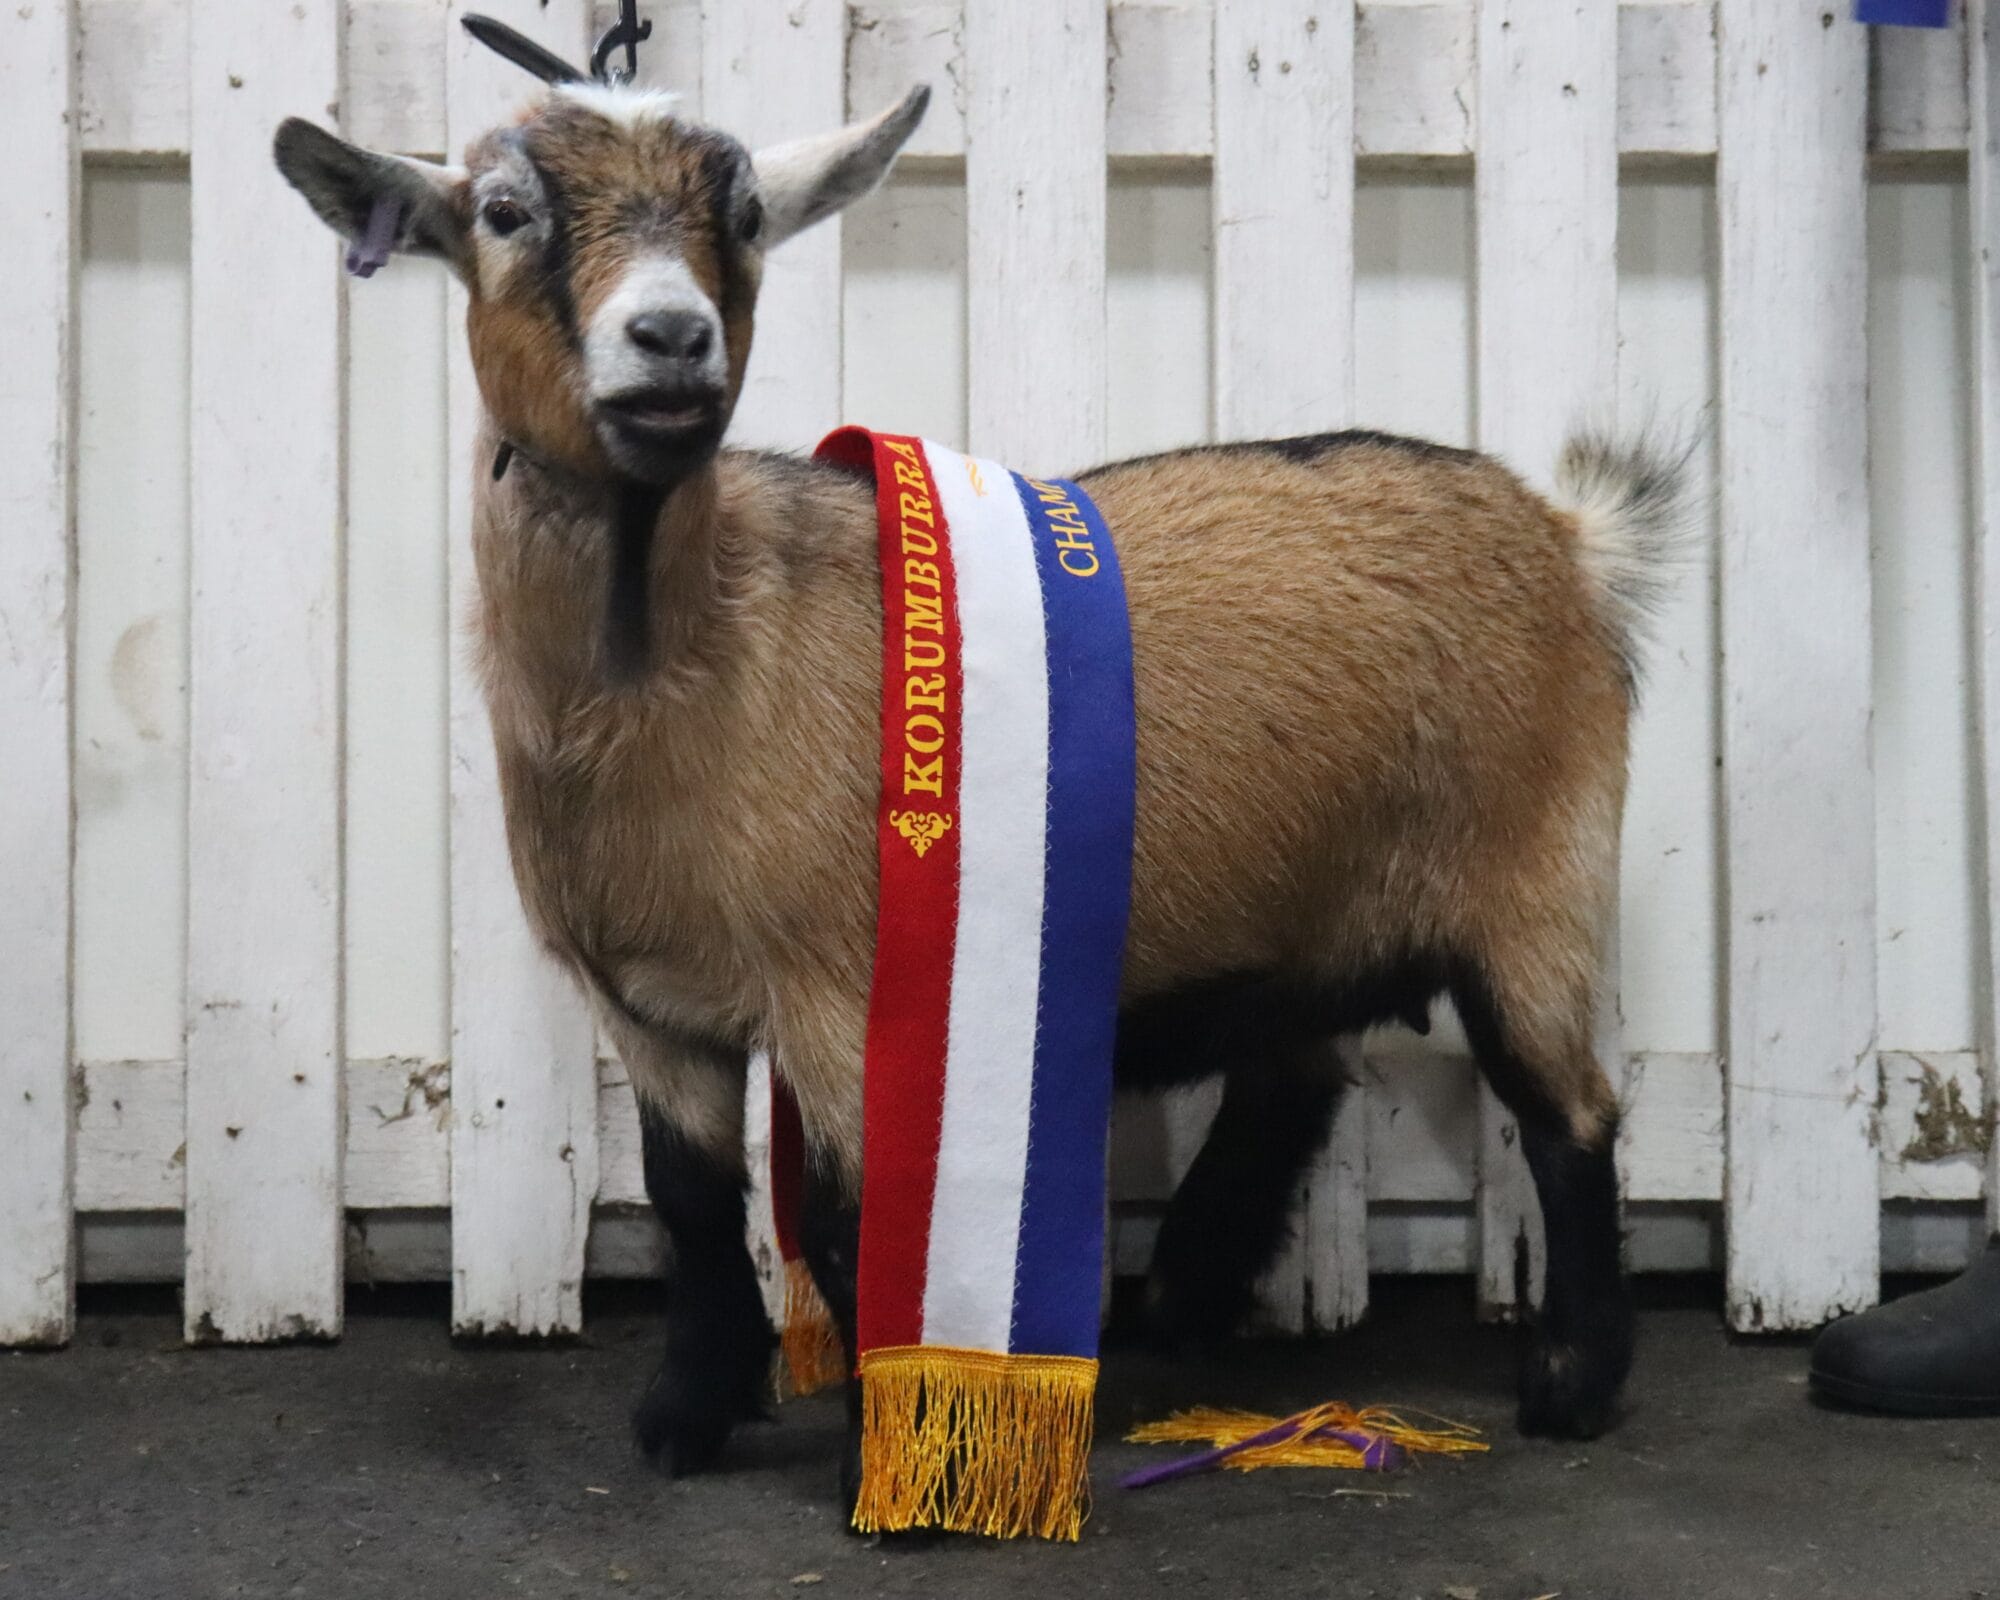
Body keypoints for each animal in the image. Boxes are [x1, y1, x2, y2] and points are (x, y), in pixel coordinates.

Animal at [273, 78, 1687, 1504]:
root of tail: (1571, 540)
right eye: (506, 213)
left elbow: (845, 1219)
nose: (671, 338)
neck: (693, 656)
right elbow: (690, 1202)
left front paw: (902, 1454)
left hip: (1534, 874)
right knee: (1295, 1076)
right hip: (1319, 910)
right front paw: (687, 1413)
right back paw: (1179, 1300)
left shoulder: (841, 983)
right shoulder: (651, 1010)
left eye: (744, 215)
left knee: (1570, 1113)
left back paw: (1570, 1381)